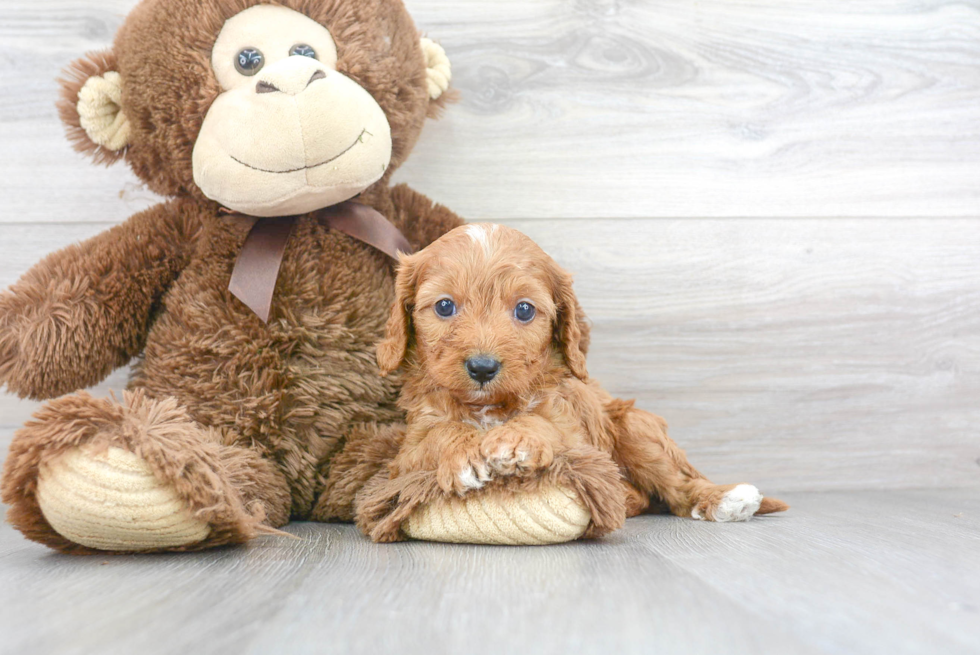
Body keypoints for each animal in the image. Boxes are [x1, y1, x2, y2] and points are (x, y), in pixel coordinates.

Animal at [372, 223, 784, 536]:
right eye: (444, 306)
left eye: (524, 310)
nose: (483, 367)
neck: (489, 407)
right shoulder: (406, 455)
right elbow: (438, 435)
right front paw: (464, 454)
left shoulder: (573, 429)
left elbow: (544, 424)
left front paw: (515, 441)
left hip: (635, 429)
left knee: (679, 487)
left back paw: (724, 500)